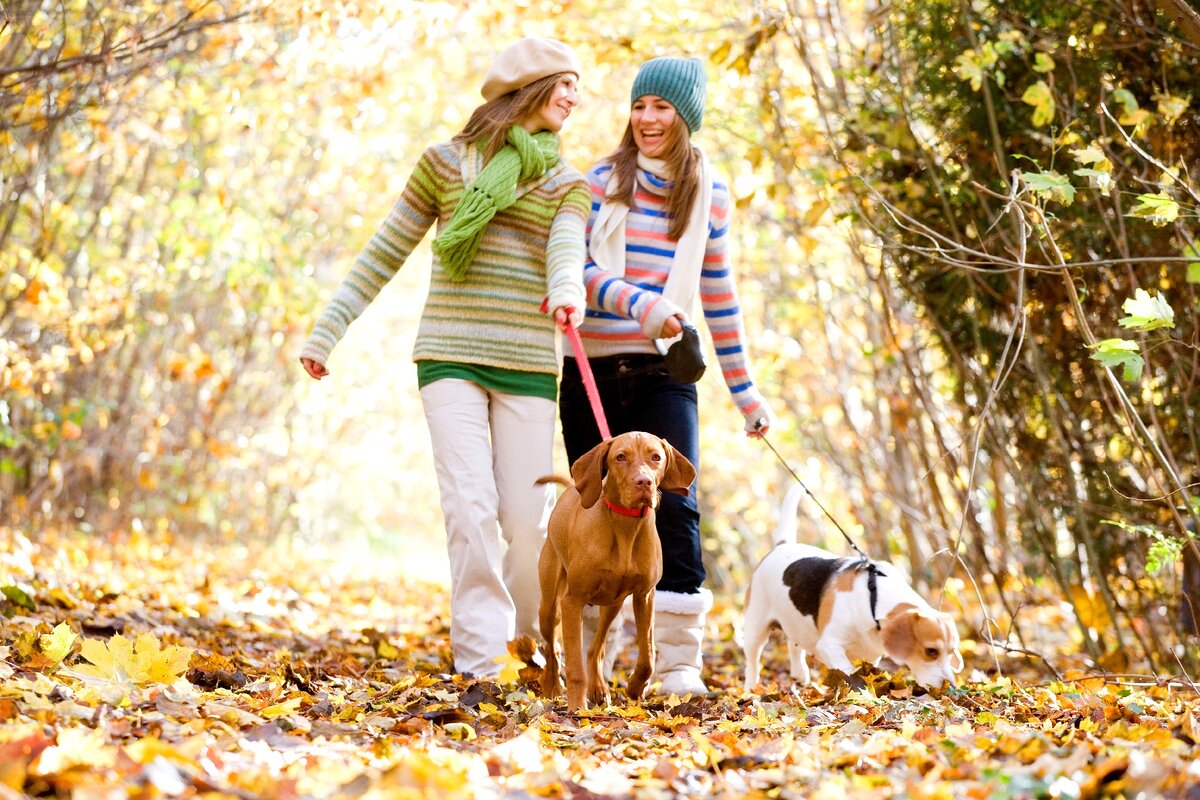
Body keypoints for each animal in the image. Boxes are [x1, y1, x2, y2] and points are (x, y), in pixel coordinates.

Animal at [542, 434, 700, 710]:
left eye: (656, 457)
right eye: (620, 457)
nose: (644, 482)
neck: (626, 524)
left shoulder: (644, 596)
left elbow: (647, 656)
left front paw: (636, 687)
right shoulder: (572, 600)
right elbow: (574, 666)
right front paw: (577, 708)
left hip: (613, 604)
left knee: (595, 649)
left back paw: (598, 687)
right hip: (550, 607)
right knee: (552, 649)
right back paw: (552, 686)